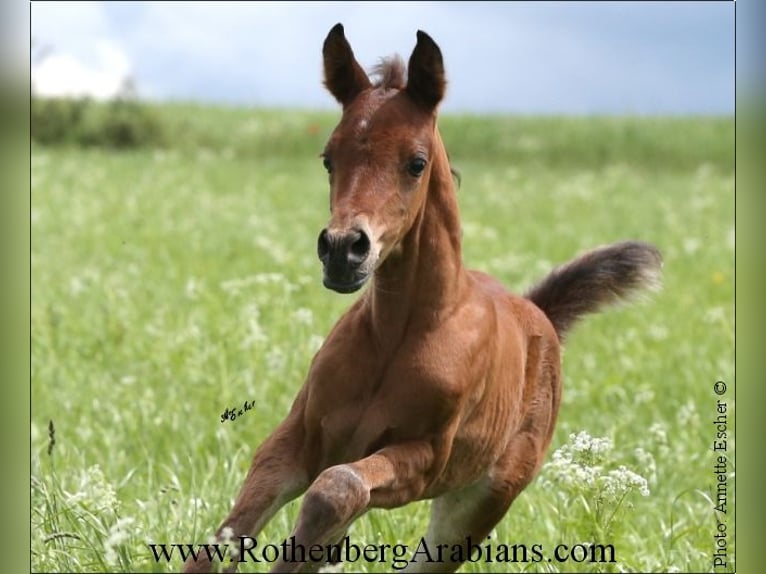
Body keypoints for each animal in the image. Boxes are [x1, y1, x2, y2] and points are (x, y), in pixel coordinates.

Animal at [184, 23, 660, 574]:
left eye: (416, 163)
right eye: (329, 158)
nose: (343, 250)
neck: (397, 337)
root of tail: (538, 312)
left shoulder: (425, 460)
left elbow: (336, 488)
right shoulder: (296, 438)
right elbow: (224, 538)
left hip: (477, 505)